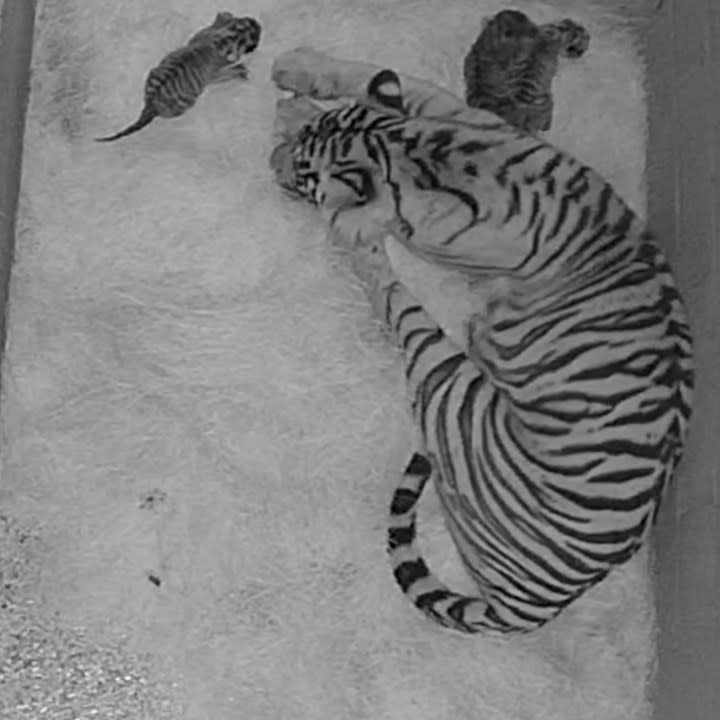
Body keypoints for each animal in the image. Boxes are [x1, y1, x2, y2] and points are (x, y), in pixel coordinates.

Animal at [268, 47, 692, 632]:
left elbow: (354, 219)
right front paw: (297, 75)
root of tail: (532, 606)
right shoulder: (450, 112)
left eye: (305, 175)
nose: (274, 164)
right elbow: (380, 76)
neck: (419, 152)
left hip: (452, 379)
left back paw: (373, 261)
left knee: (395, 299)